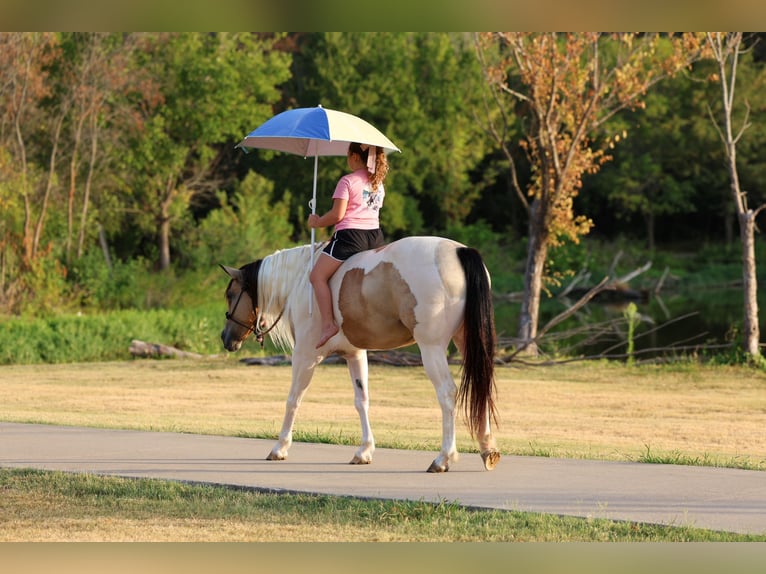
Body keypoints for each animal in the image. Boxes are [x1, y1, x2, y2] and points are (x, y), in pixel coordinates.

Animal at [219, 235, 500, 473]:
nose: (225, 338)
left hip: (431, 348)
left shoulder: (305, 356)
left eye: (231, 294)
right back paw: (488, 449)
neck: (300, 279)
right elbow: (361, 400)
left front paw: (280, 447)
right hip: (467, 343)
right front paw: (364, 451)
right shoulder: (355, 354)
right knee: (482, 385)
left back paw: (443, 458)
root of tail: (459, 251)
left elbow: (293, 400)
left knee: (447, 393)